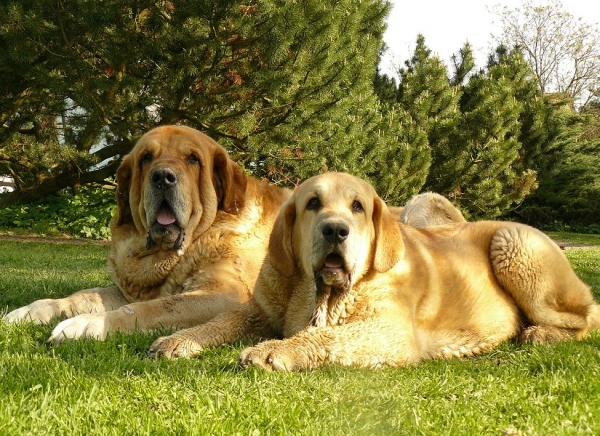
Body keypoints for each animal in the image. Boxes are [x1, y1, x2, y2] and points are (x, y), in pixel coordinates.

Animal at [5, 124, 290, 342]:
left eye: (193, 159)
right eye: (146, 158)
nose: (163, 176)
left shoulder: (227, 295)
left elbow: (153, 308)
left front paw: (88, 324)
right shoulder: (126, 291)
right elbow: (85, 294)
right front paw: (33, 310)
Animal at [146, 172, 600, 370]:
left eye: (358, 207)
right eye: (313, 203)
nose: (335, 229)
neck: (321, 294)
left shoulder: (390, 331)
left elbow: (325, 335)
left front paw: (274, 350)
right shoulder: (259, 309)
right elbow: (221, 320)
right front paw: (178, 340)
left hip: (512, 243)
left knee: (586, 316)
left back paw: (540, 334)